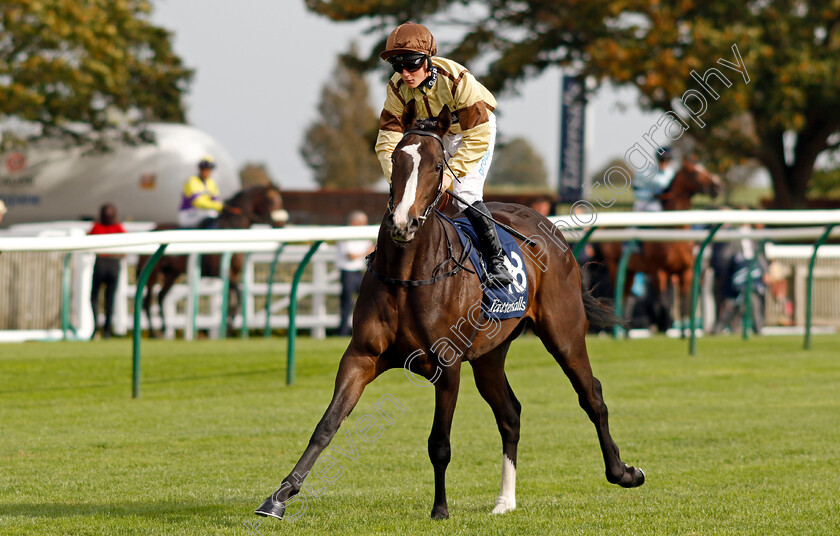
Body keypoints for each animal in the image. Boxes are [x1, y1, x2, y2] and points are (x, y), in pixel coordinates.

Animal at [139, 182, 288, 338]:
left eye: (281, 201)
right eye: (271, 201)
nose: (281, 224)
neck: (231, 229)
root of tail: (151, 229)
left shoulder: (233, 273)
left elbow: (231, 296)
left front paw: (228, 326)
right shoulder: (221, 272)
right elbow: (238, 293)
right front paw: (230, 325)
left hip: (171, 274)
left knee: (161, 296)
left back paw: (164, 329)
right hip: (152, 273)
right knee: (147, 301)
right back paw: (153, 332)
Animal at [254, 102, 644, 520]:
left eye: (438, 165)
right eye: (396, 159)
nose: (402, 222)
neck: (408, 276)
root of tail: (549, 226)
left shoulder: (447, 364)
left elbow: (439, 442)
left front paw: (440, 508)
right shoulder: (362, 355)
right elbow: (326, 426)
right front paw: (278, 497)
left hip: (564, 333)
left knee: (592, 396)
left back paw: (623, 472)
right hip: (490, 355)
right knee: (510, 414)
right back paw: (505, 501)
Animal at [596, 158, 720, 336]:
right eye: (695, 172)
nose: (717, 185)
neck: (674, 230)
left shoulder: (685, 272)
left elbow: (683, 306)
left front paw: (683, 333)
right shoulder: (658, 271)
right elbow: (664, 303)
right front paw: (664, 325)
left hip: (630, 270)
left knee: (627, 296)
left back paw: (626, 331)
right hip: (615, 266)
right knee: (617, 295)